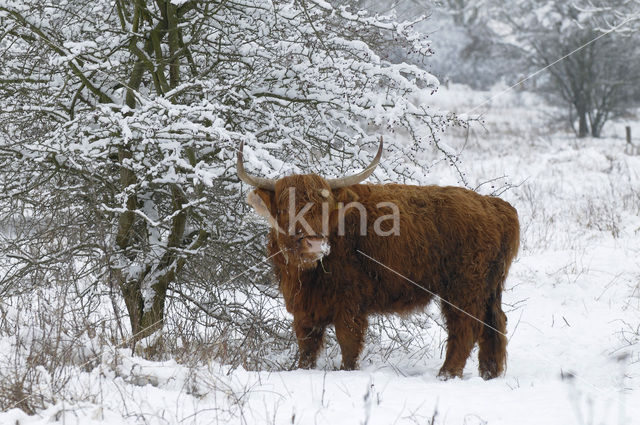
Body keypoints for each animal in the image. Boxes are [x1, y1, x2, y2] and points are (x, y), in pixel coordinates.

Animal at [238, 137, 516, 380]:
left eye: (325, 209)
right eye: (286, 209)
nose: (315, 244)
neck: (304, 274)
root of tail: (495, 206)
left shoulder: (349, 302)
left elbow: (348, 343)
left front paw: (347, 372)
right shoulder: (304, 308)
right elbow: (307, 347)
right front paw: (302, 370)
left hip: (464, 288)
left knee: (465, 327)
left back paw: (447, 375)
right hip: (489, 288)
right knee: (494, 324)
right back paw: (488, 374)